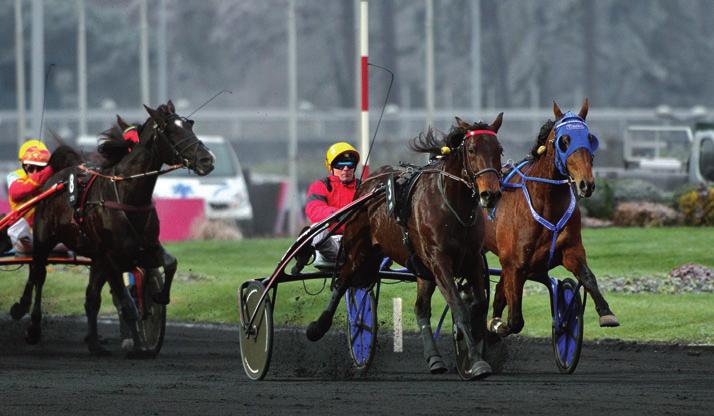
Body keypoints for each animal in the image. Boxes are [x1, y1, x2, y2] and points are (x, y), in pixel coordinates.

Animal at [11, 101, 213, 354]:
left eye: (189, 125)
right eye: (170, 130)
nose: (207, 160)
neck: (128, 196)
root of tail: (56, 178)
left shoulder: (144, 248)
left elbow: (169, 263)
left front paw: (159, 297)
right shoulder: (112, 258)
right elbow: (126, 304)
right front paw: (138, 345)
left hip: (95, 257)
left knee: (90, 298)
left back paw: (95, 344)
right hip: (44, 239)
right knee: (38, 274)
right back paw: (31, 324)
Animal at [304, 114, 500, 380]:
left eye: (499, 150)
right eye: (471, 150)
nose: (491, 194)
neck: (452, 207)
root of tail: (368, 185)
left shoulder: (472, 259)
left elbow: (477, 304)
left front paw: (471, 351)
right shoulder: (439, 261)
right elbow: (458, 306)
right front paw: (477, 363)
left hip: (420, 269)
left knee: (420, 309)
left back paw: (435, 359)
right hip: (358, 249)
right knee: (343, 280)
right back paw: (318, 327)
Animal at [484, 100, 616, 334]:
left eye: (590, 138)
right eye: (564, 141)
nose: (586, 184)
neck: (547, 204)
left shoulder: (571, 250)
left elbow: (588, 277)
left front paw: (606, 312)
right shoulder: (515, 264)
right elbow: (515, 320)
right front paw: (499, 325)